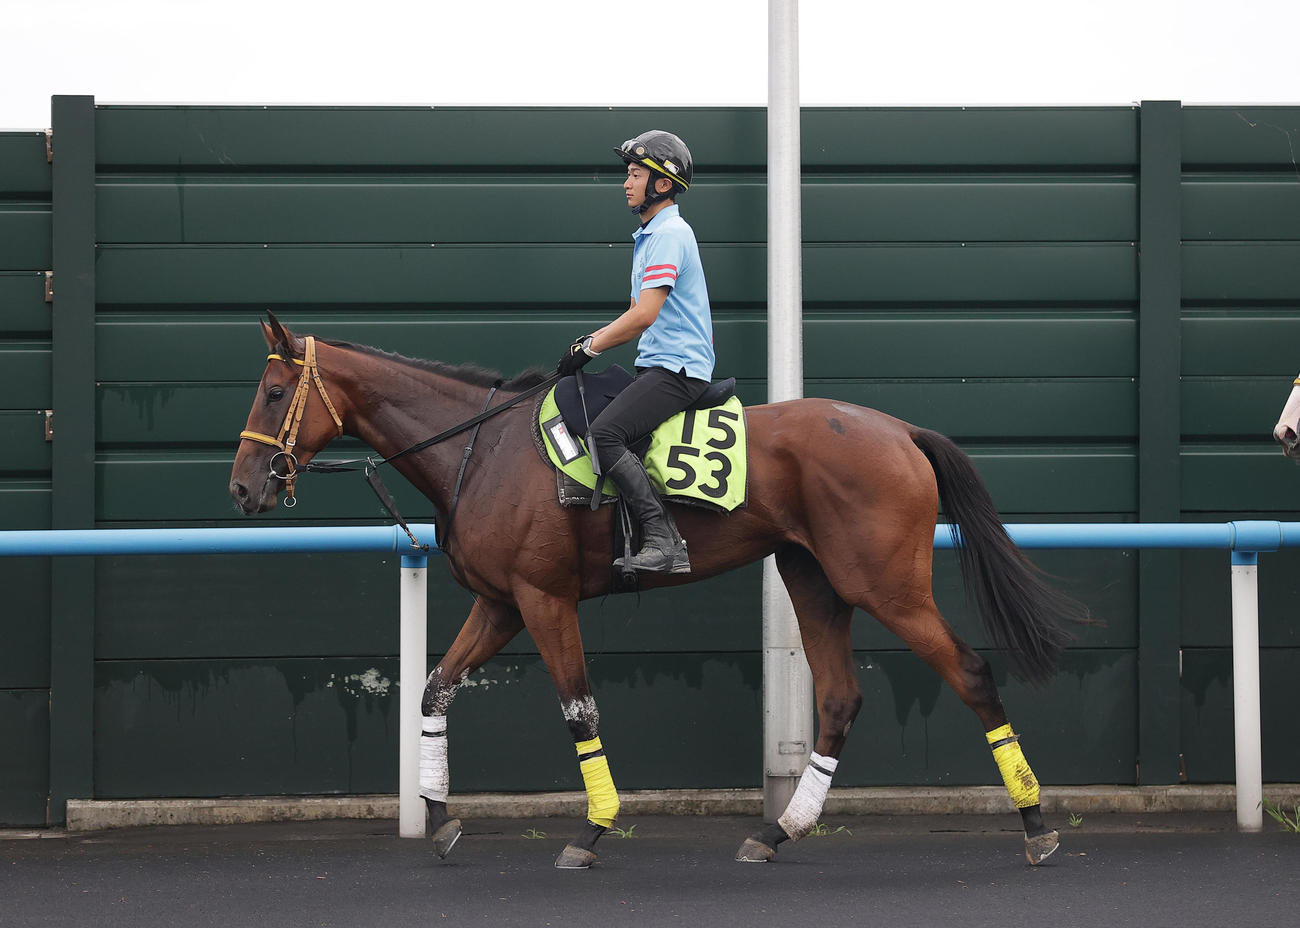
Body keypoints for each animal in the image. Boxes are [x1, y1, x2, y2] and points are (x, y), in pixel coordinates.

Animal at [230, 313, 1089, 869]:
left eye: (271, 394)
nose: (243, 487)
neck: (485, 448)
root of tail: (900, 430)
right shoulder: (502, 603)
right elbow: (435, 690)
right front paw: (439, 819)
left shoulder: (544, 600)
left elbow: (578, 708)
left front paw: (592, 830)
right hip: (814, 579)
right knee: (841, 698)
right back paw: (779, 833)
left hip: (885, 584)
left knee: (970, 672)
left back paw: (1035, 823)